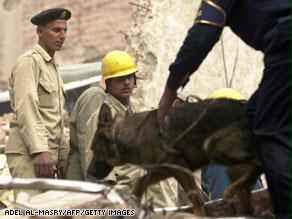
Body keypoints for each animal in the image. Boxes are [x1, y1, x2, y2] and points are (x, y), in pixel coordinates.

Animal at [86, 99, 262, 216]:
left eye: (93, 149)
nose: (89, 172)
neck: (123, 135)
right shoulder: (165, 170)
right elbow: (140, 182)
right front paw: (133, 201)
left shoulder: (179, 168)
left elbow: (196, 197)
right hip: (229, 165)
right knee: (249, 186)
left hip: (213, 149)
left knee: (257, 165)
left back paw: (232, 192)